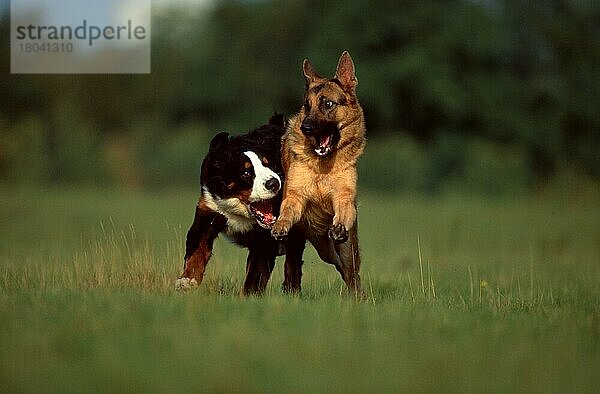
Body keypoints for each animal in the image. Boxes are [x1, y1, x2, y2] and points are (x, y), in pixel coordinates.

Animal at [176, 112, 288, 294]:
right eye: (246, 172)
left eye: (268, 163)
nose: (274, 183)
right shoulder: (209, 209)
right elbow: (197, 248)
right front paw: (187, 280)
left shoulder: (265, 237)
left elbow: (255, 273)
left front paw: (249, 296)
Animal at [272, 50, 366, 294]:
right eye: (307, 105)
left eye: (328, 103)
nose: (306, 128)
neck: (323, 168)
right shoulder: (294, 196)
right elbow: (287, 210)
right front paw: (280, 225)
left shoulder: (344, 197)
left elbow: (343, 210)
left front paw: (339, 226)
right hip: (324, 250)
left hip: (344, 251)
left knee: (352, 275)